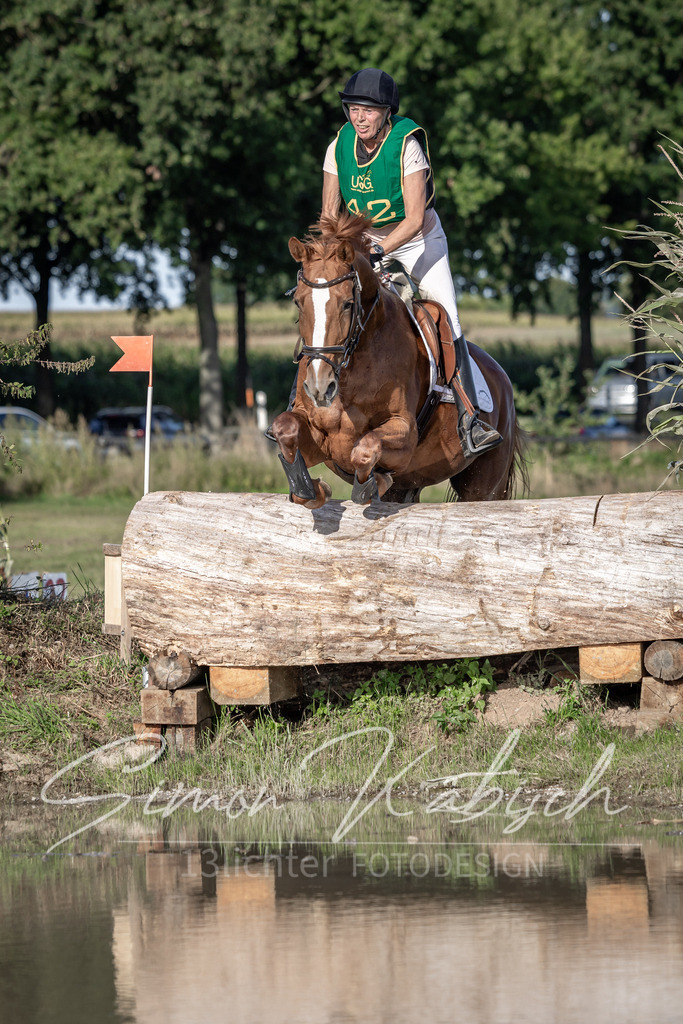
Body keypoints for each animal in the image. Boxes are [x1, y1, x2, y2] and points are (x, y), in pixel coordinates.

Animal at [269, 212, 527, 509]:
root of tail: (502, 377)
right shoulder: (317, 436)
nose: (320, 388)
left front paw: (374, 483)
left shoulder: (404, 433)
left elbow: (365, 449)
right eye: (298, 303)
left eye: (347, 304)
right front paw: (312, 488)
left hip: (483, 485)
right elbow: (286, 430)